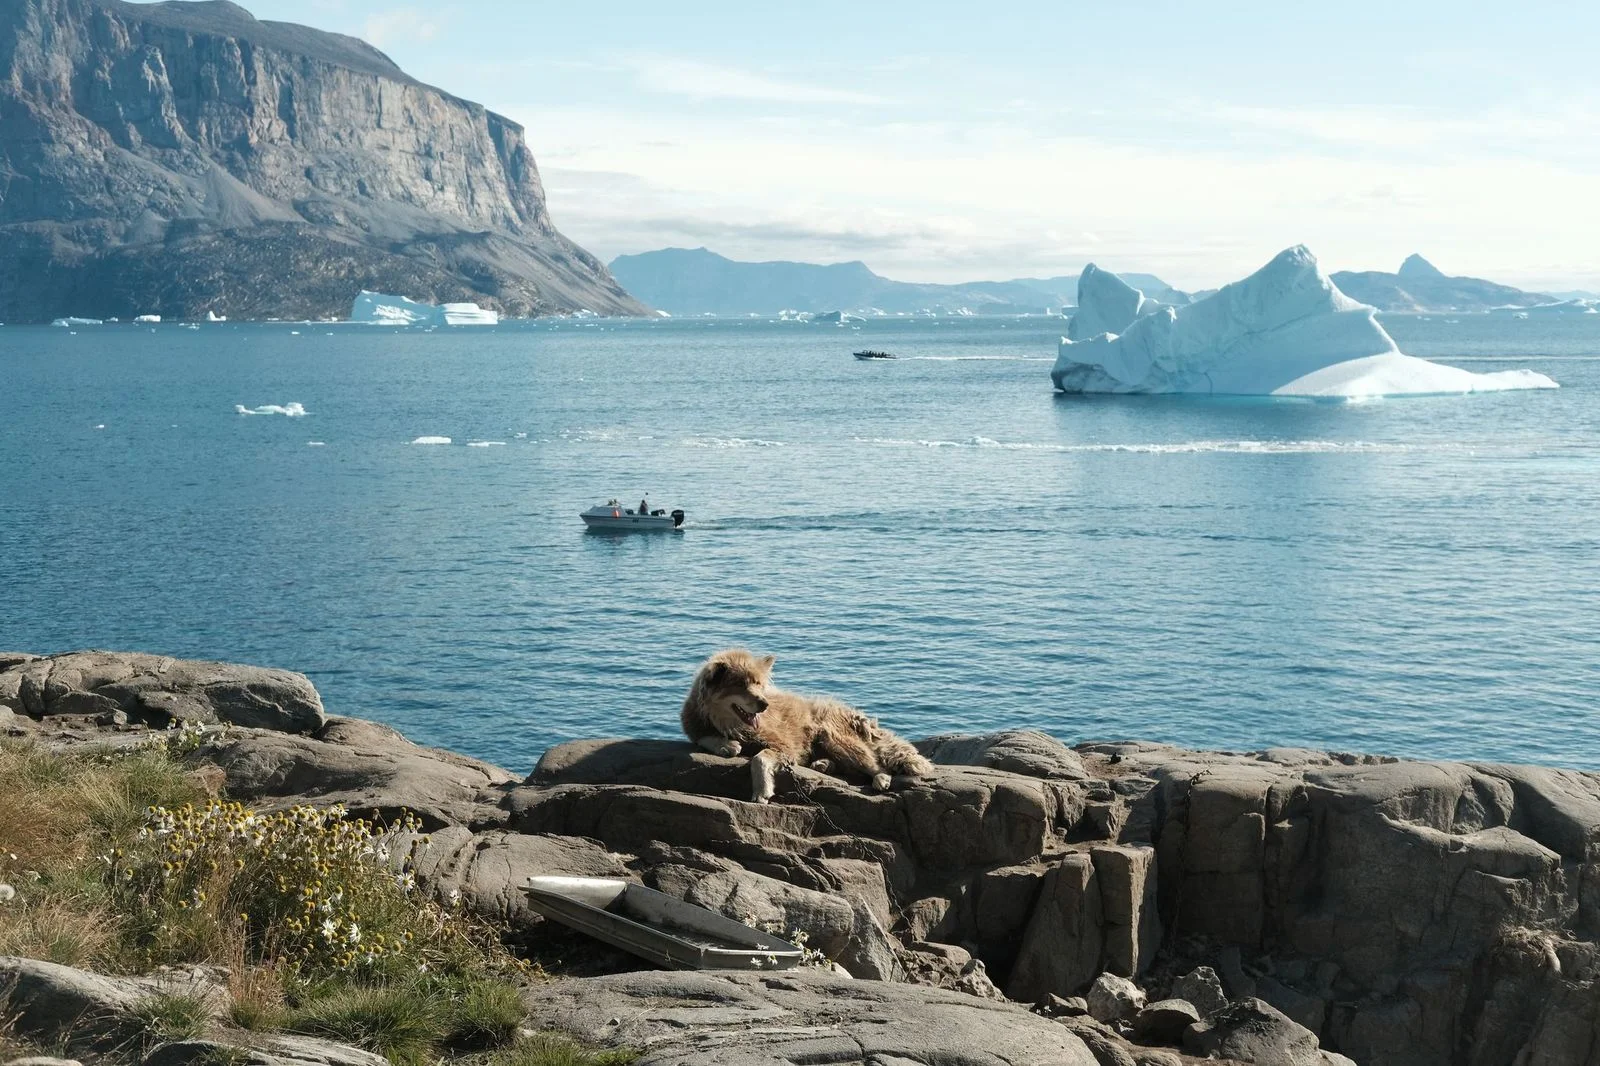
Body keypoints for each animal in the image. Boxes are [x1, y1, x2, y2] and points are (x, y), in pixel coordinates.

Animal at [681, 648, 935, 804]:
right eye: (741, 686)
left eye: (759, 684)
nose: (764, 704)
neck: (728, 722)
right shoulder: (698, 725)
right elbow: (704, 737)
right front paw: (726, 745)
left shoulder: (784, 746)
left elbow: (758, 759)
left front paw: (762, 790)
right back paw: (823, 764)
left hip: (834, 737)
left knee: (874, 763)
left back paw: (880, 778)